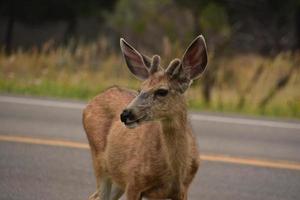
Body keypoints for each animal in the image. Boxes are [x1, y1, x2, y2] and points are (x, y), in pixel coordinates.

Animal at [82, 35, 209, 199]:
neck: (175, 172)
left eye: (162, 91)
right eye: (140, 89)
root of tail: (91, 102)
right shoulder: (133, 181)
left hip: (117, 177)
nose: (125, 114)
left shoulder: (183, 190)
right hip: (100, 161)